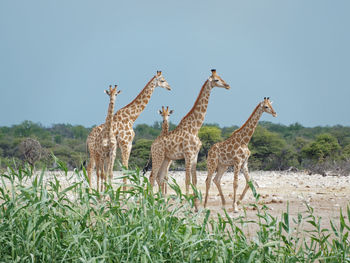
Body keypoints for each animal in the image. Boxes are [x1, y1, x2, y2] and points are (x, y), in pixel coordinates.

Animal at [150, 69, 230, 199]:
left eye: (221, 76)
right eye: (216, 79)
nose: (228, 85)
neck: (194, 128)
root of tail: (152, 145)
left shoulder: (195, 155)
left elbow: (194, 179)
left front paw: (195, 198)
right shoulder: (187, 154)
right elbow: (187, 179)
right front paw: (187, 198)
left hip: (166, 159)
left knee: (160, 177)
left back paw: (161, 199)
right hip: (158, 156)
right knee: (152, 176)